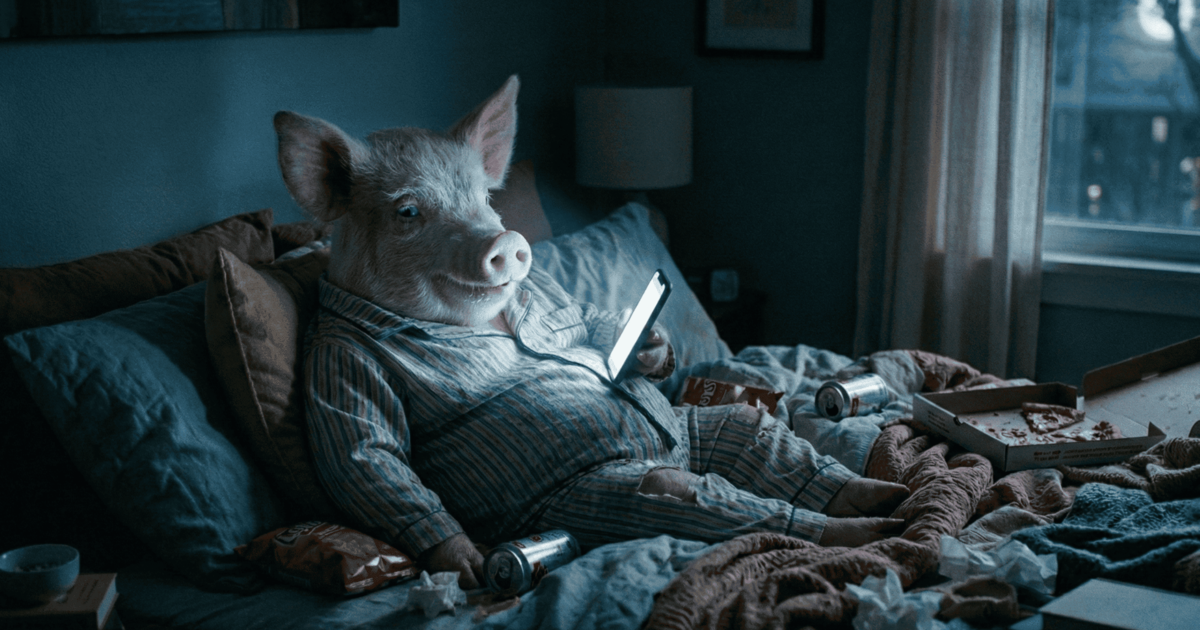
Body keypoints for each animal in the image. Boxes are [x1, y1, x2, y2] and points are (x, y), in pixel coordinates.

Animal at [275, 75, 910, 589]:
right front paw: (470, 565)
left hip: (701, 426)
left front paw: (648, 347)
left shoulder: (553, 300)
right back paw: (875, 527)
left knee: (749, 430)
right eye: (407, 212)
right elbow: (371, 453)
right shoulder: (341, 359)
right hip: (597, 497)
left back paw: (886, 496)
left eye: (485, 198)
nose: (506, 240)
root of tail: (678, 452)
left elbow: (590, 321)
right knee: (686, 496)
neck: (476, 322)